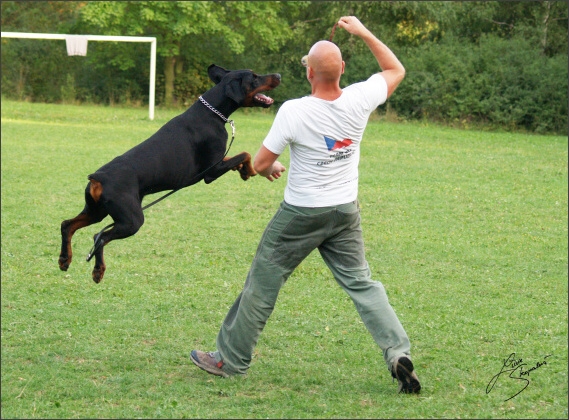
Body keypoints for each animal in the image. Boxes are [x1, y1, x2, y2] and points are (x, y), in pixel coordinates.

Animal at [60, 64, 282, 284]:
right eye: (254, 77)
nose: (279, 75)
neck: (213, 113)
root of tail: (98, 178)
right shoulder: (211, 171)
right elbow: (245, 153)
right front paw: (250, 170)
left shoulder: (218, 162)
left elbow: (239, 157)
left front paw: (244, 171)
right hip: (131, 220)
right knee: (99, 237)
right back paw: (98, 271)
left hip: (97, 211)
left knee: (67, 225)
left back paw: (64, 259)